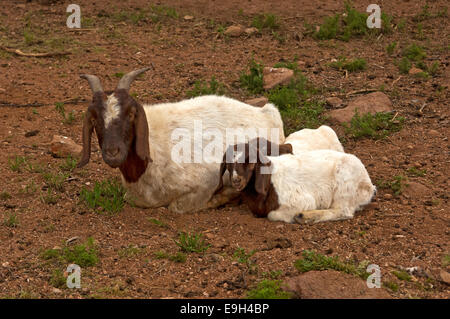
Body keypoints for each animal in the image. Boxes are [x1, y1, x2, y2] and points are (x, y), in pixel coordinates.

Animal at [78, 68, 284, 214]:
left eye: (130, 114)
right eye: (95, 120)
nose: (113, 152)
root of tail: (265, 112)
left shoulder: (204, 183)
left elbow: (177, 207)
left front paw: (225, 197)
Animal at [218, 140, 376, 225]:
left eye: (251, 162)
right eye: (228, 164)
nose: (236, 180)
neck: (269, 182)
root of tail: (369, 186)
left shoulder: (301, 201)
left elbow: (272, 215)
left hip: (345, 185)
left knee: (343, 211)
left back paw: (305, 217)